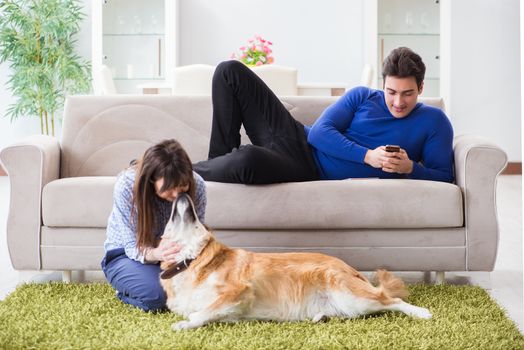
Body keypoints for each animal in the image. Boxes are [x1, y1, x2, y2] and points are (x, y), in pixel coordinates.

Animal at [159, 193, 430, 330]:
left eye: (195, 217)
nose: (182, 193)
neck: (192, 260)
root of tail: (350, 268)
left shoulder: (238, 291)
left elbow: (201, 312)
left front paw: (183, 325)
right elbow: (205, 312)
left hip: (352, 296)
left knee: (392, 300)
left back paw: (422, 312)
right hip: (349, 305)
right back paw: (322, 316)